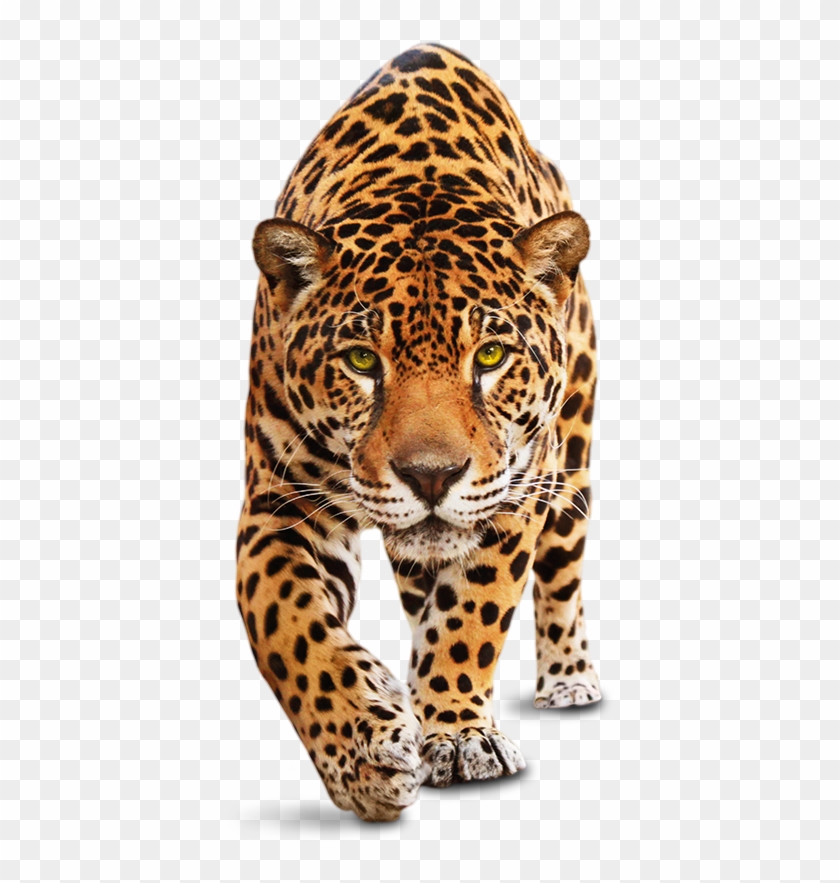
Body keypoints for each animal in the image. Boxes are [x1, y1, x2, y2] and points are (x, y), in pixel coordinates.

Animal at [236, 44, 601, 822]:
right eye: (361, 360)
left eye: (490, 357)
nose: (431, 476)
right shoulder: (278, 505)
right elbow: (288, 627)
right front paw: (363, 755)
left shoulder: (515, 489)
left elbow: (474, 612)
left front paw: (459, 734)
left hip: (573, 462)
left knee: (560, 574)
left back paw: (567, 678)